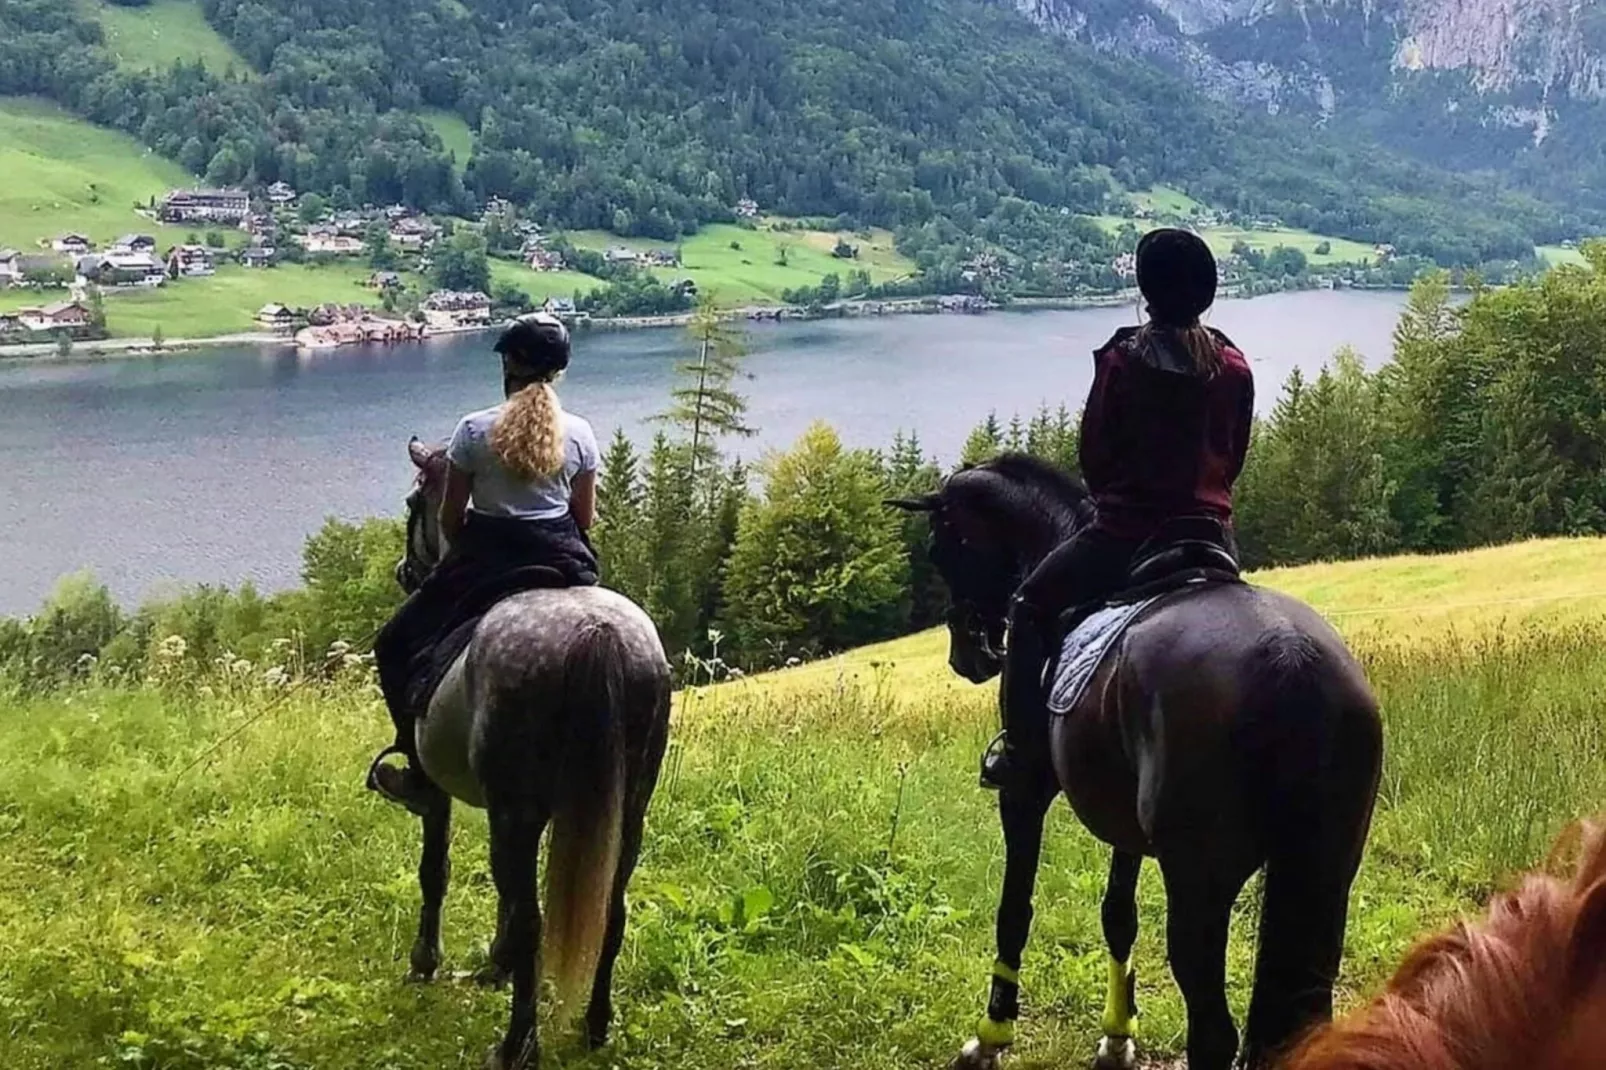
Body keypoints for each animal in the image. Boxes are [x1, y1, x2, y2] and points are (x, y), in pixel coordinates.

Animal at [401, 436, 677, 1066]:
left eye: (412, 503)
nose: (406, 572)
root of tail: (597, 632)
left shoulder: (448, 794)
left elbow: (437, 869)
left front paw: (427, 962)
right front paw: (494, 966)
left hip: (517, 813)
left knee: (533, 919)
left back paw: (517, 1044)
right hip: (628, 811)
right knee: (612, 909)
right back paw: (594, 1025)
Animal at [892, 453, 1381, 1066]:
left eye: (941, 549)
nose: (969, 657)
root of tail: (1290, 657)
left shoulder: (1024, 794)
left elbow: (1014, 912)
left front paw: (990, 1038)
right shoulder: (1123, 823)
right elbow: (1117, 917)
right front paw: (1117, 1036)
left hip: (1201, 883)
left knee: (1213, 1032)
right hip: (1327, 870)